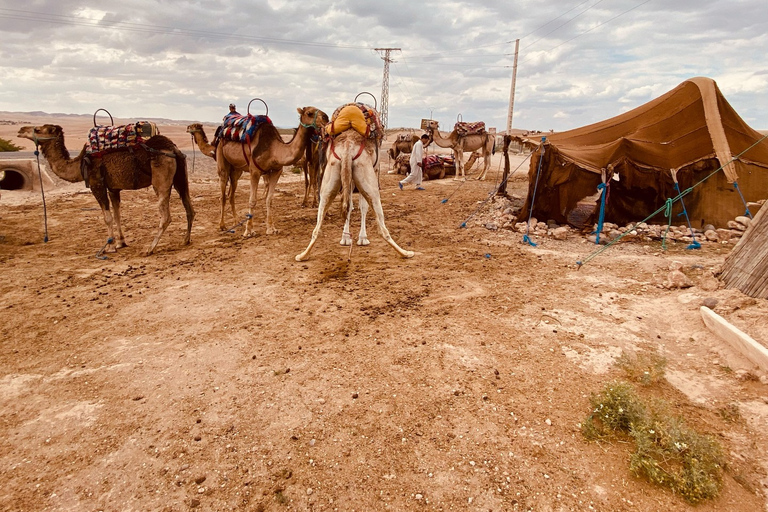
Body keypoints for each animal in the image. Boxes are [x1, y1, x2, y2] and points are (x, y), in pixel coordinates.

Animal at [18, 124, 195, 256]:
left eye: (38, 129)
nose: (20, 130)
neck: (79, 163)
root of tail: (173, 149)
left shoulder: (97, 184)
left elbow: (107, 217)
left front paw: (110, 247)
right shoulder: (113, 188)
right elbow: (117, 215)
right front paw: (121, 242)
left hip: (161, 178)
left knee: (165, 215)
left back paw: (149, 249)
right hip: (180, 177)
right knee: (189, 208)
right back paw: (185, 240)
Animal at [294, 130, 414, 262]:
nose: (391, 152)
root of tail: (347, 148)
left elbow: (350, 205)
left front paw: (346, 239)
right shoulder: (374, 169)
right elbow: (363, 206)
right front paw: (362, 239)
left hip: (332, 173)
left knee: (318, 226)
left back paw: (302, 255)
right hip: (365, 173)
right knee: (381, 226)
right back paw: (406, 253)